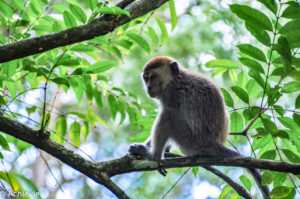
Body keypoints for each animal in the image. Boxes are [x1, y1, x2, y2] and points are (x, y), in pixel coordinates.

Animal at [129, 55, 270, 197]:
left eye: (152, 77)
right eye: (146, 78)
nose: (148, 87)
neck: (175, 78)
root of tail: (213, 143)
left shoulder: (170, 94)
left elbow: (169, 110)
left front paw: (144, 148)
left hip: (191, 141)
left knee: (168, 115)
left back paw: (153, 156)